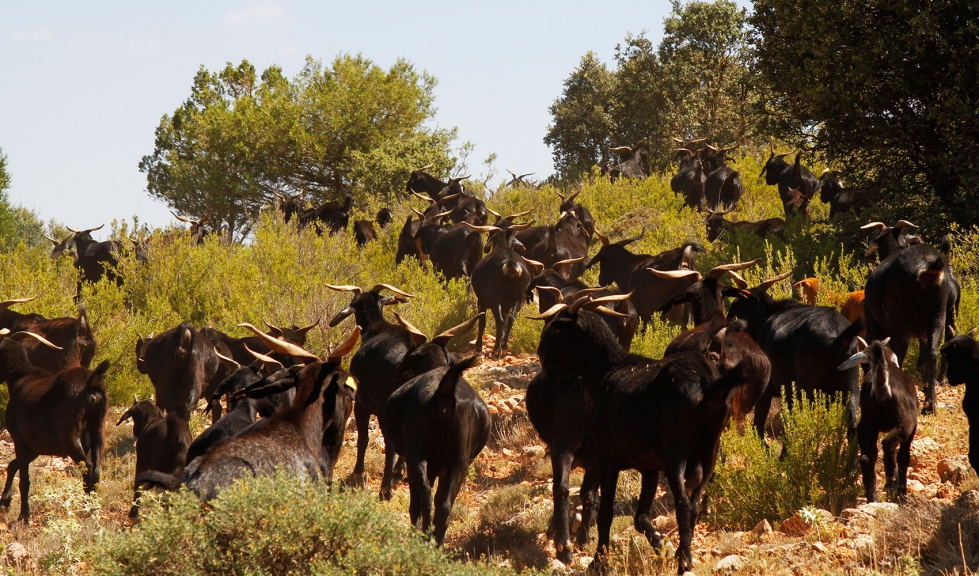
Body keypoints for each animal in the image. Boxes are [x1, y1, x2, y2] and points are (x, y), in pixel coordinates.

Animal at [0, 329, 109, 522]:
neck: (21, 379)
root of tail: (91, 383)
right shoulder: (35, 447)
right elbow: (13, 465)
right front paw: (5, 503)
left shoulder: (19, 440)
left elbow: (24, 479)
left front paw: (24, 517)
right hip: (98, 431)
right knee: (96, 470)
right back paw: (93, 508)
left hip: (71, 437)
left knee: (87, 468)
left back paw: (87, 509)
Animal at [380, 354, 489, 545]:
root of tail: (444, 394)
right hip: (458, 464)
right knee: (444, 504)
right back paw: (436, 544)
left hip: (418, 458)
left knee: (425, 497)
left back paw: (424, 537)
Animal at [839, 338, 918, 502]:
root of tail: (882, 387)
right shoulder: (912, 429)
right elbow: (904, 457)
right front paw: (902, 492)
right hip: (904, 424)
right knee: (888, 444)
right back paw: (891, 486)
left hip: (866, 426)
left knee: (867, 458)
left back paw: (873, 498)